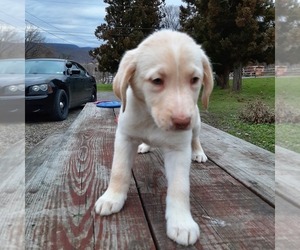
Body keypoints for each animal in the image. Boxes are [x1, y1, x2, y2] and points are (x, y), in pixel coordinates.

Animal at [94, 29, 213, 246]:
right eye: (157, 80)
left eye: (195, 79)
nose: (183, 122)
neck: (151, 119)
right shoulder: (124, 137)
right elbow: (119, 171)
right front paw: (112, 197)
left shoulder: (179, 149)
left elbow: (180, 187)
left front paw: (181, 223)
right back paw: (145, 145)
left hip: (197, 122)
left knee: (196, 138)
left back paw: (198, 152)